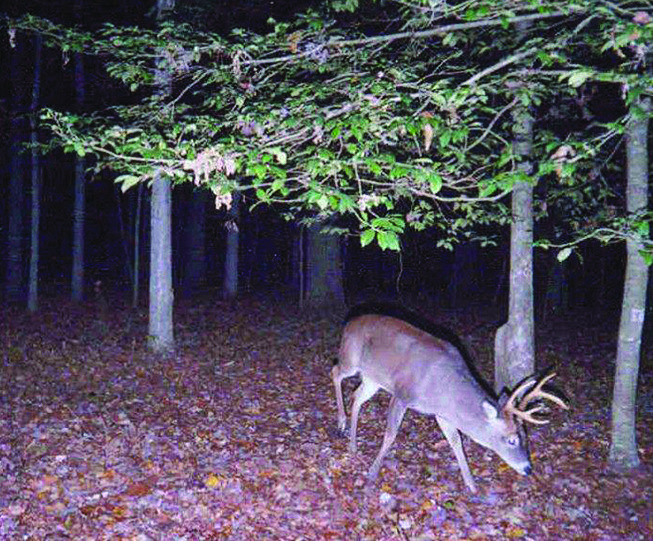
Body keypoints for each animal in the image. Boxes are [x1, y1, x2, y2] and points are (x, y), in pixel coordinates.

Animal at [332, 314, 568, 493]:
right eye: (511, 440)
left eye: (526, 435)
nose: (528, 468)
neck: (444, 392)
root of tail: (349, 322)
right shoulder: (402, 394)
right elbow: (390, 435)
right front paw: (372, 472)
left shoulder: (442, 413)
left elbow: (456, 442)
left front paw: (471, 484)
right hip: (351, 358)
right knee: (335, 371)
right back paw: (341, 423)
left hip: (373, 379)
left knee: (356, 396)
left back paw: (352, 444)